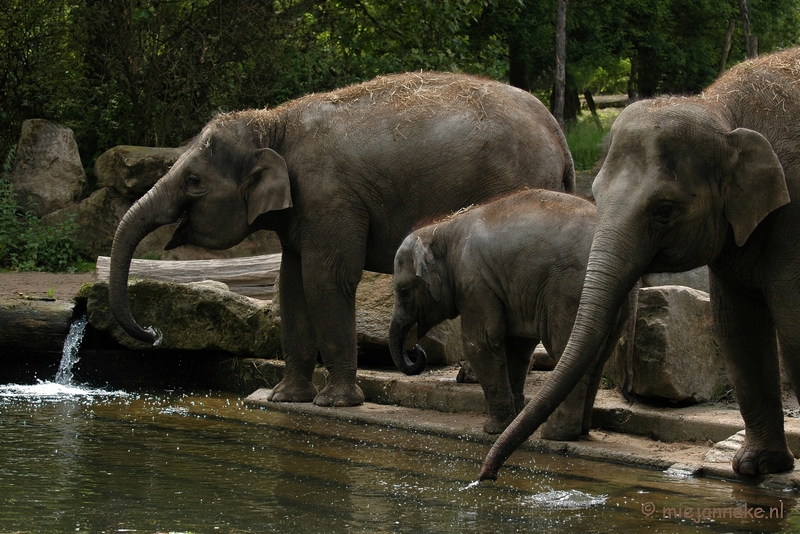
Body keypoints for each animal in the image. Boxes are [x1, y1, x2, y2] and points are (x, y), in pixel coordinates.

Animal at [109, 72, 580, 410]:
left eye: (193, 182)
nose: (152, 333)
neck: (272, 123)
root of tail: (558, 135)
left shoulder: (329, 197)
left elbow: (326, 279)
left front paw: (335, 403)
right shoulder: (302, 210)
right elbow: (291, 284)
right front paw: (285, 399)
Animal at [478, 45, 800, 482]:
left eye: (664, 211)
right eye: (594, 193)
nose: (486, 475)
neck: (721, 113)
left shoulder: (794, 221)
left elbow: (794, 325)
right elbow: (737, 328)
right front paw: (754, 467)